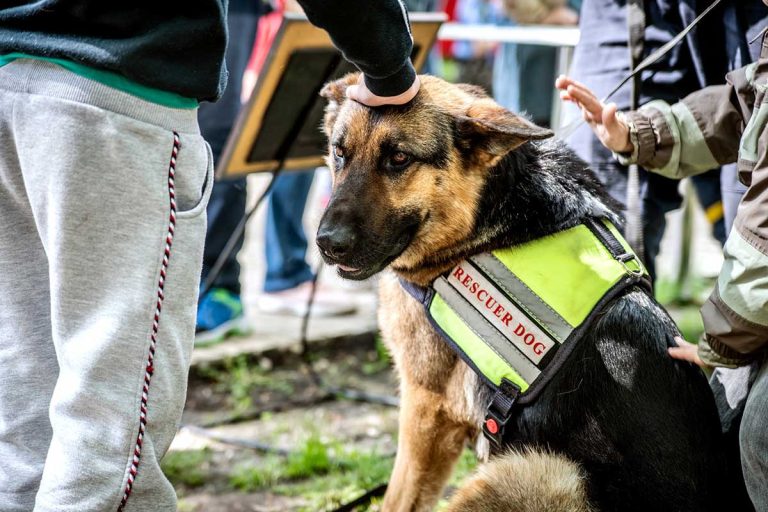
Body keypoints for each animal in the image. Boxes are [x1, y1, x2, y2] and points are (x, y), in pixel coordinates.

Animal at [314, 74, 744, 510]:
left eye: (399, 159)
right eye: (339, 153)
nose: (328, 244)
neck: (484, 215)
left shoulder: (426, 407)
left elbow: (398, 498)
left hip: (540, 468)